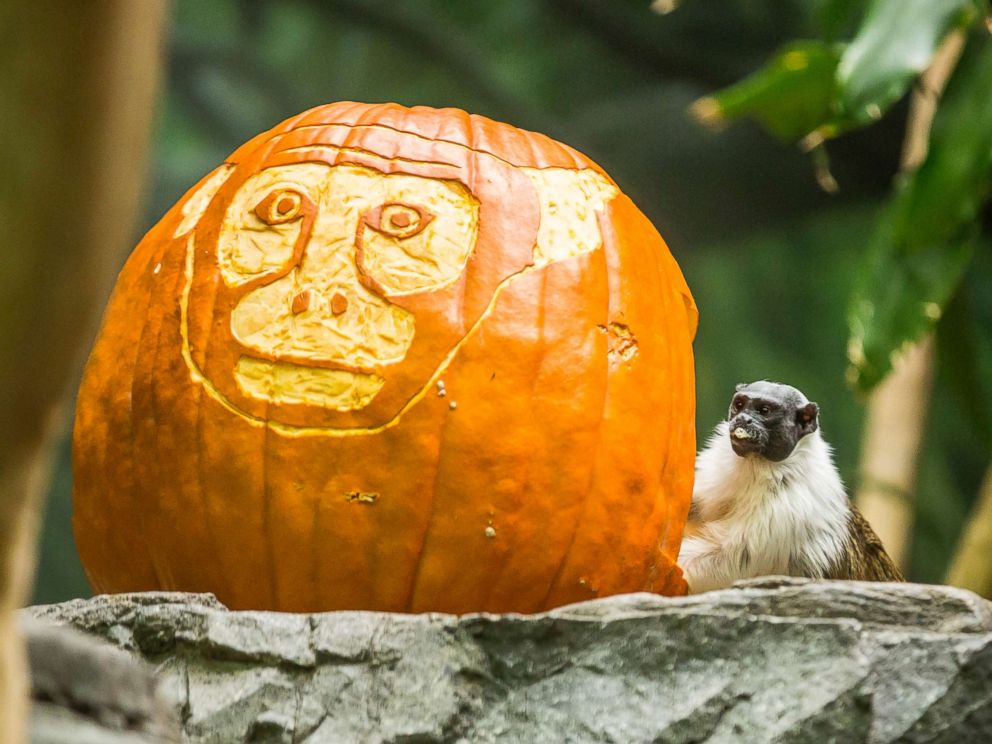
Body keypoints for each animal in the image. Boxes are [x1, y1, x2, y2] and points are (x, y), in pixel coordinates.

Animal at [680, 380, 904, 596]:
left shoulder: (785, 511)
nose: (743, 419)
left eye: (764, 410)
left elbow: (731, 558)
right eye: (740, 405)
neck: (758, 467)